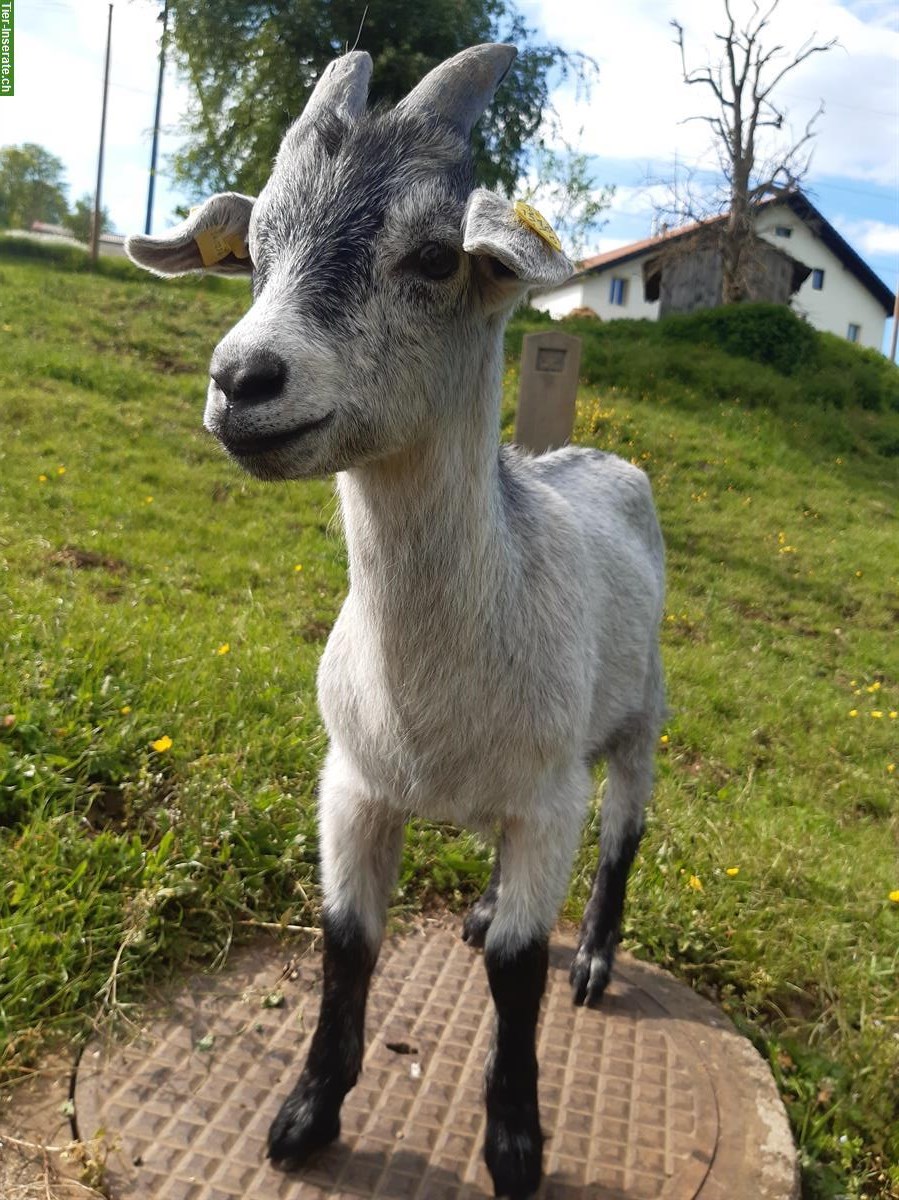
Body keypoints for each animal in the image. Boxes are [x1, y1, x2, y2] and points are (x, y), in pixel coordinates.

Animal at [127, 42, 667, 1195]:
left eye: (430, 256)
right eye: (253, 256)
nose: (241, 379)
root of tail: (595, 457)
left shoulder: (546, 795)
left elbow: (517, 972)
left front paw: (515, 1146)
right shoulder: (353, 782)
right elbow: (346, 942)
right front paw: (305, 1114)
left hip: (640, 715)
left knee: (621, 834)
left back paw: (596, 958)